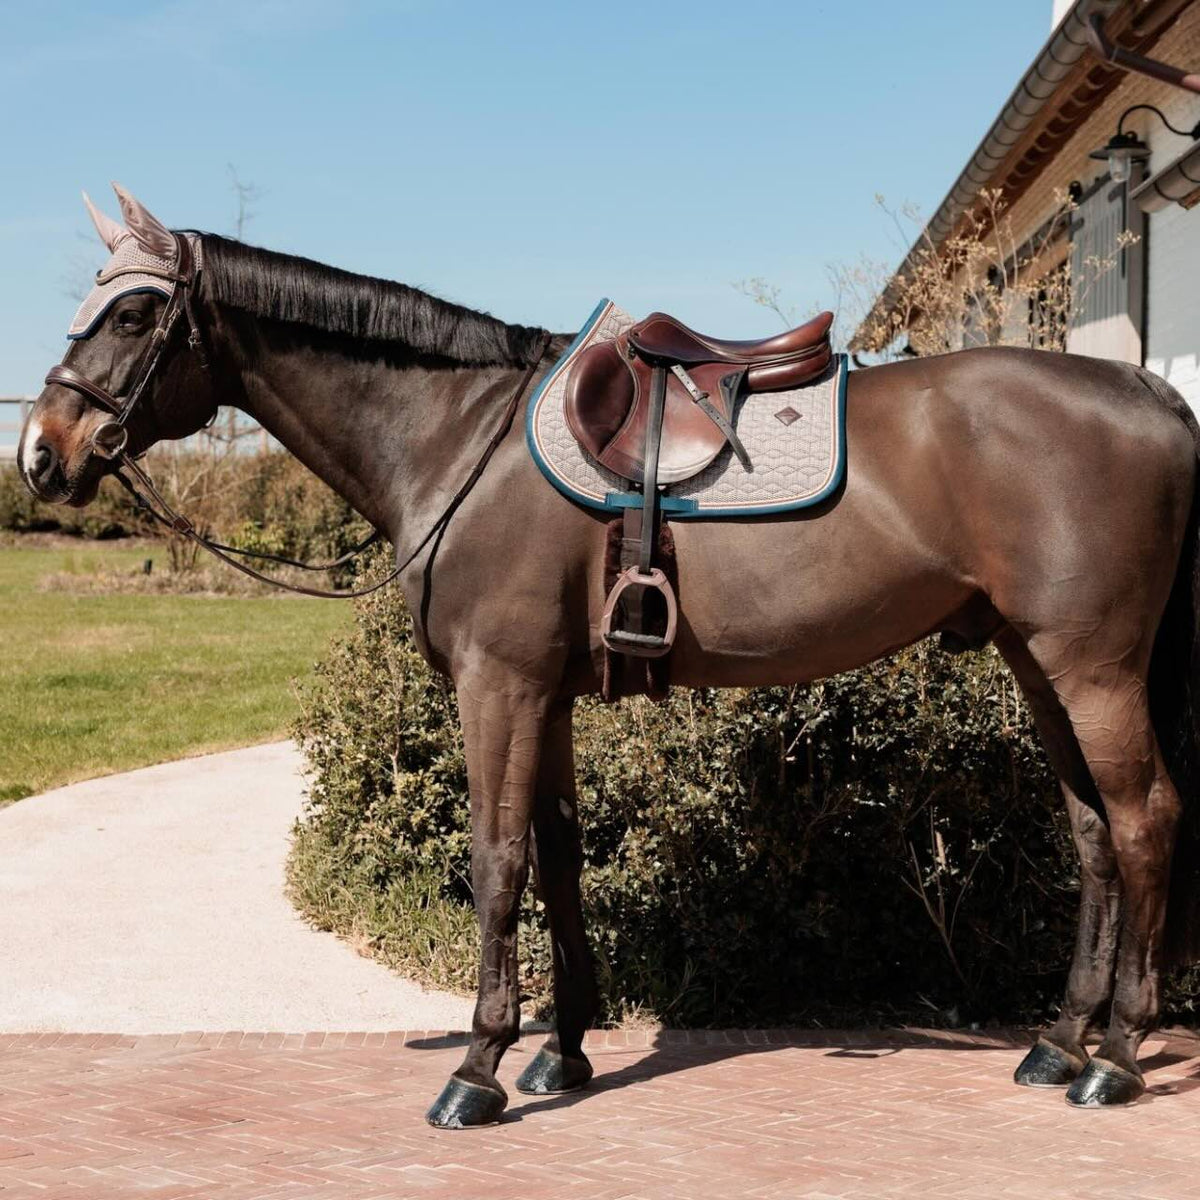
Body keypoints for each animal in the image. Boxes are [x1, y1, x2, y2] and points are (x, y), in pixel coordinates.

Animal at [18, 185, 1200, 1127]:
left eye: (132, 313)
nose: (42, 452)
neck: (462, 439)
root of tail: (1152, 394)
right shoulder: (546, 694)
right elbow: (557, 858)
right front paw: (564, 1052)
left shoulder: (498, 688)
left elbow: (496, 863)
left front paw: (479, 1070)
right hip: (1039, 665)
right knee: (1092, 833)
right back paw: (1059, 1045)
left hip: (1092, 670)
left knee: (1143, 820)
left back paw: (1119, 1059)